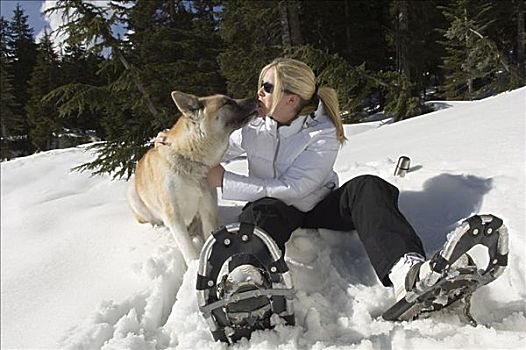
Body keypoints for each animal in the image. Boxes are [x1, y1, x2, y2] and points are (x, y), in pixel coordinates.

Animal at [129, 91, 258, 264]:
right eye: (227, 103)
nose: (256, 98)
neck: (190, 159)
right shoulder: (174, 216)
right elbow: (188, 249)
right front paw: (194, 266)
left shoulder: (207, 208)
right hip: (134, 196)